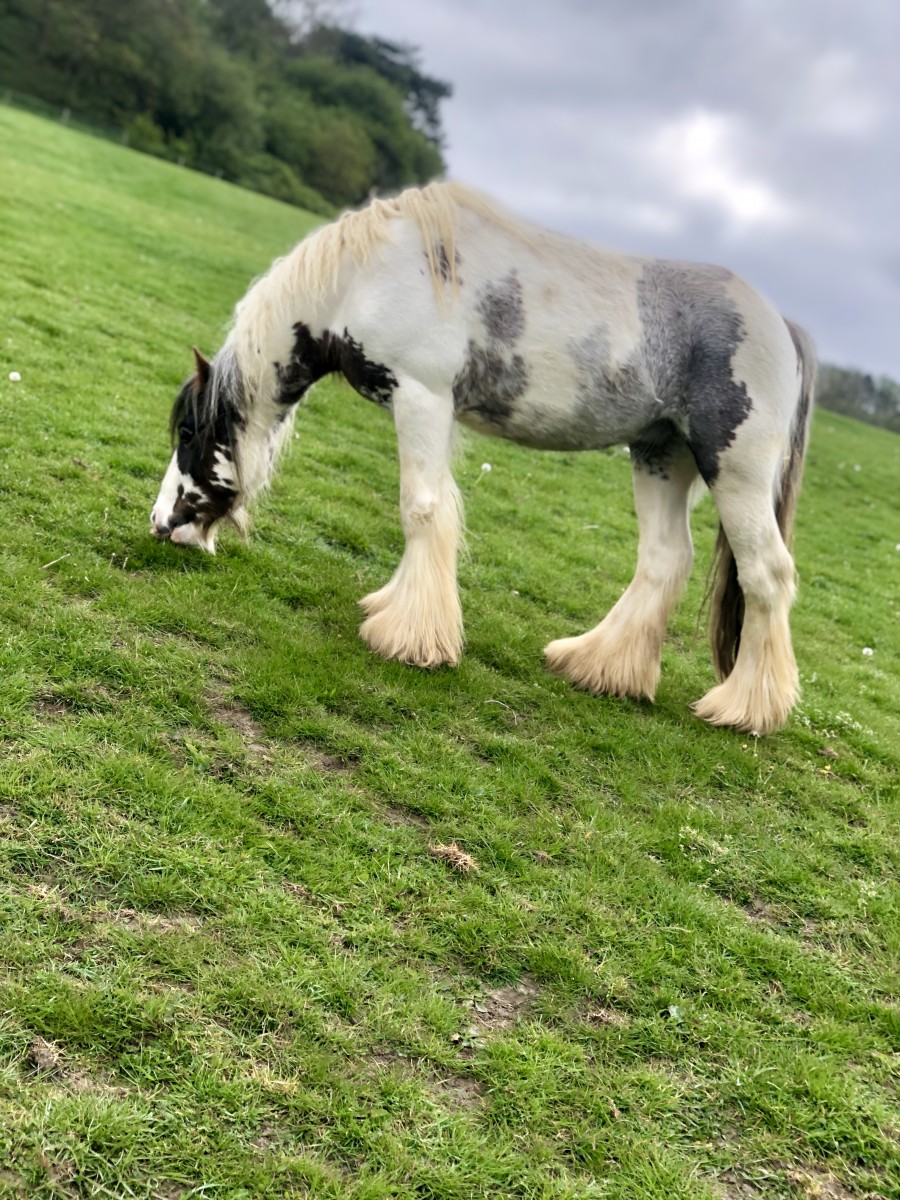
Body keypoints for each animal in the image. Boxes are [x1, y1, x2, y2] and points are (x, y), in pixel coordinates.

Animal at [150, 182, 815, 734]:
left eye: (187, 429)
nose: (161, 524)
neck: (369, 275)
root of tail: (782, 326)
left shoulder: (419, 398)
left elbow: (420, 509)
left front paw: (410, 640)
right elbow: (433, 510)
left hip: (734, 470)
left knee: (767, 574)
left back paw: (744, 709)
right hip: (661, 453)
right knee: (664, 559)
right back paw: (598, 666)